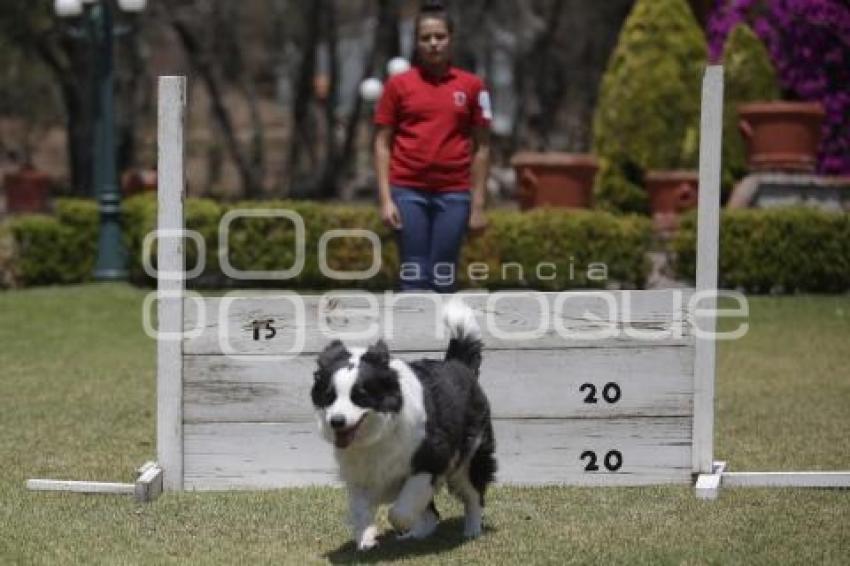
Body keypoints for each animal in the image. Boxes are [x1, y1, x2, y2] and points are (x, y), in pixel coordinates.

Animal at [312, 304, 496, 552]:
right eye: (329, 396)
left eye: (360, 396)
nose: (337, 421)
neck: (379, 433)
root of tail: (458, 363)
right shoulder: (359, 473)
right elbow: (360, 509)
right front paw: (366, 538)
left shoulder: (431, 460)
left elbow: (399, 511)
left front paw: (399, 525)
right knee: (433, 513)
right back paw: (418, 534)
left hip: (470, 457)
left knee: (474, 495)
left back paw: (472, 531)